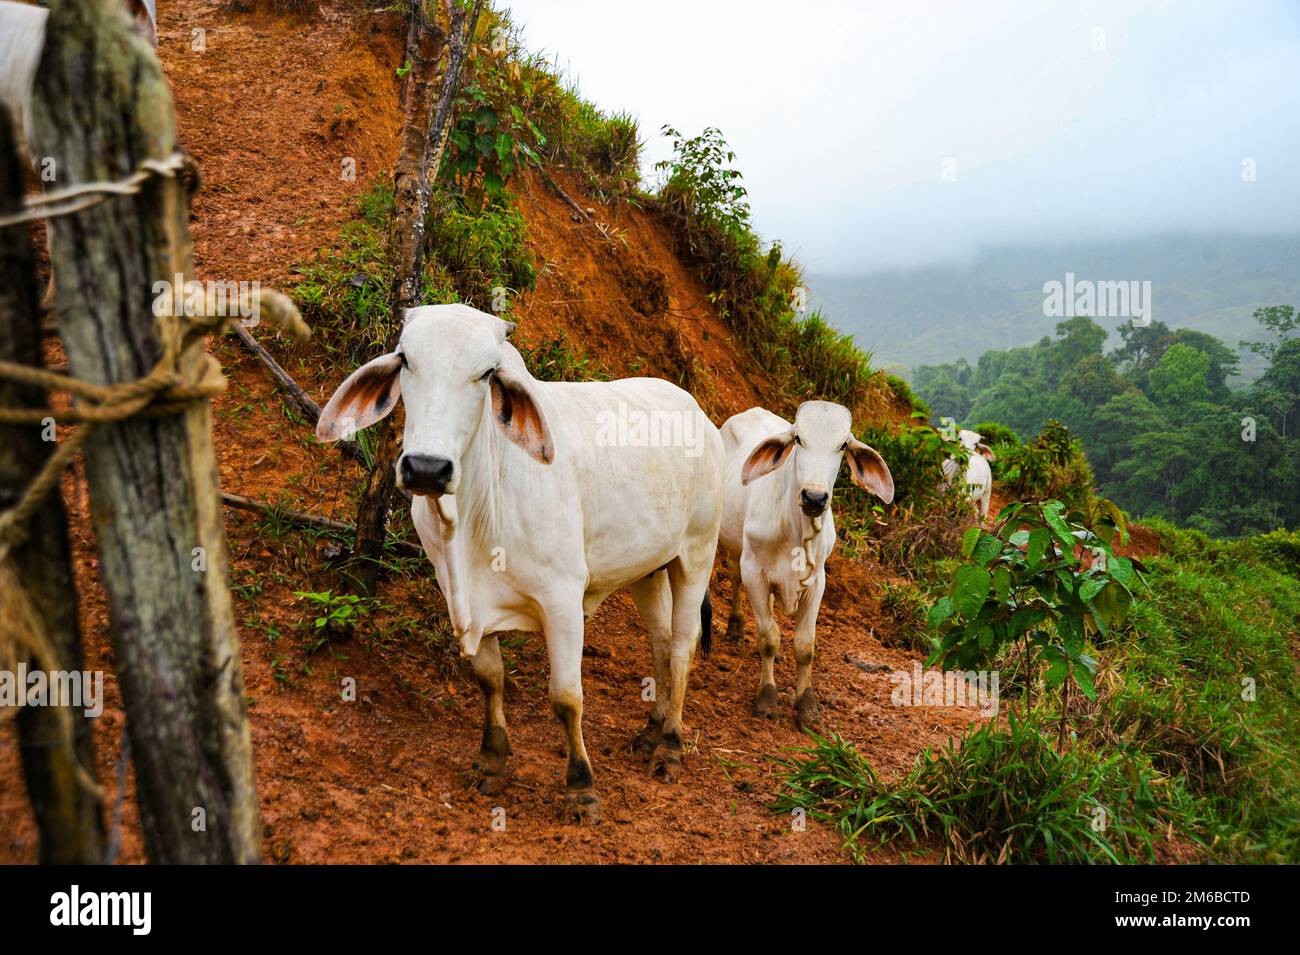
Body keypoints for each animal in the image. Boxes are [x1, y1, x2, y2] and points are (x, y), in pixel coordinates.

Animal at [316, 304, 725, 823]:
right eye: (405, 359)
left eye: (487, 372)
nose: (427, 468)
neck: (474, 513)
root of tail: (698, 411)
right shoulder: (461, 595)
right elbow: (490, 680)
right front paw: (492, 763)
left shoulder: (563, 600)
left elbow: (566, 697)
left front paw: (581, 789)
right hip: (648, 570)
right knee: (660, 640)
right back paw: (651, 732)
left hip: (696, 552)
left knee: (683, 644)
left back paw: (669, 747)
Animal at [718, 402, 894, 729]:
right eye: (798, 438)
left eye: (843, 445)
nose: (814, 497)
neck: (795, 531)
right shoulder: (755, 573)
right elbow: (769, 638)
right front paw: (767, 698)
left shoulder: (817, 583)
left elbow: (805, 646)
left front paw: (807, 706)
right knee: (733, 576)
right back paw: (734, 627)